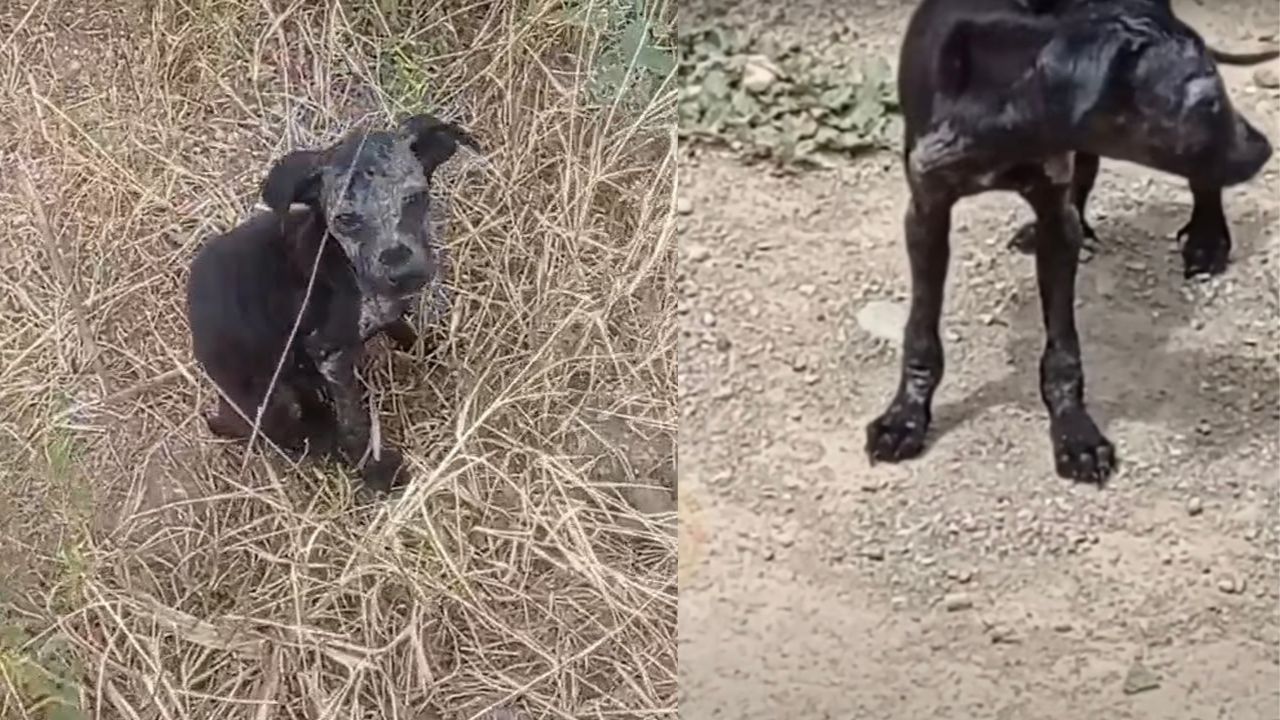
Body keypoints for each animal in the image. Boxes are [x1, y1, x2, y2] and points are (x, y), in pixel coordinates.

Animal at [183, 114, 478, 489]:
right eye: (346, 219)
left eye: (415, 198)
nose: (405, 273)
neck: (342, 264)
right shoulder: (330, 356)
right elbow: (355, 424)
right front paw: (376, 472)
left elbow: (404, 328)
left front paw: (432, 352)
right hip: (277, 398)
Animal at [865, 1, 1274, 481]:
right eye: (1207, 104)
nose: (1265, 148)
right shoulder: (927, 212)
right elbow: (921, 334)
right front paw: (905, 418)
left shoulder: (1055, 222)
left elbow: (1063, 349)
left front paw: (1076, 432)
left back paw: (1208, 239)